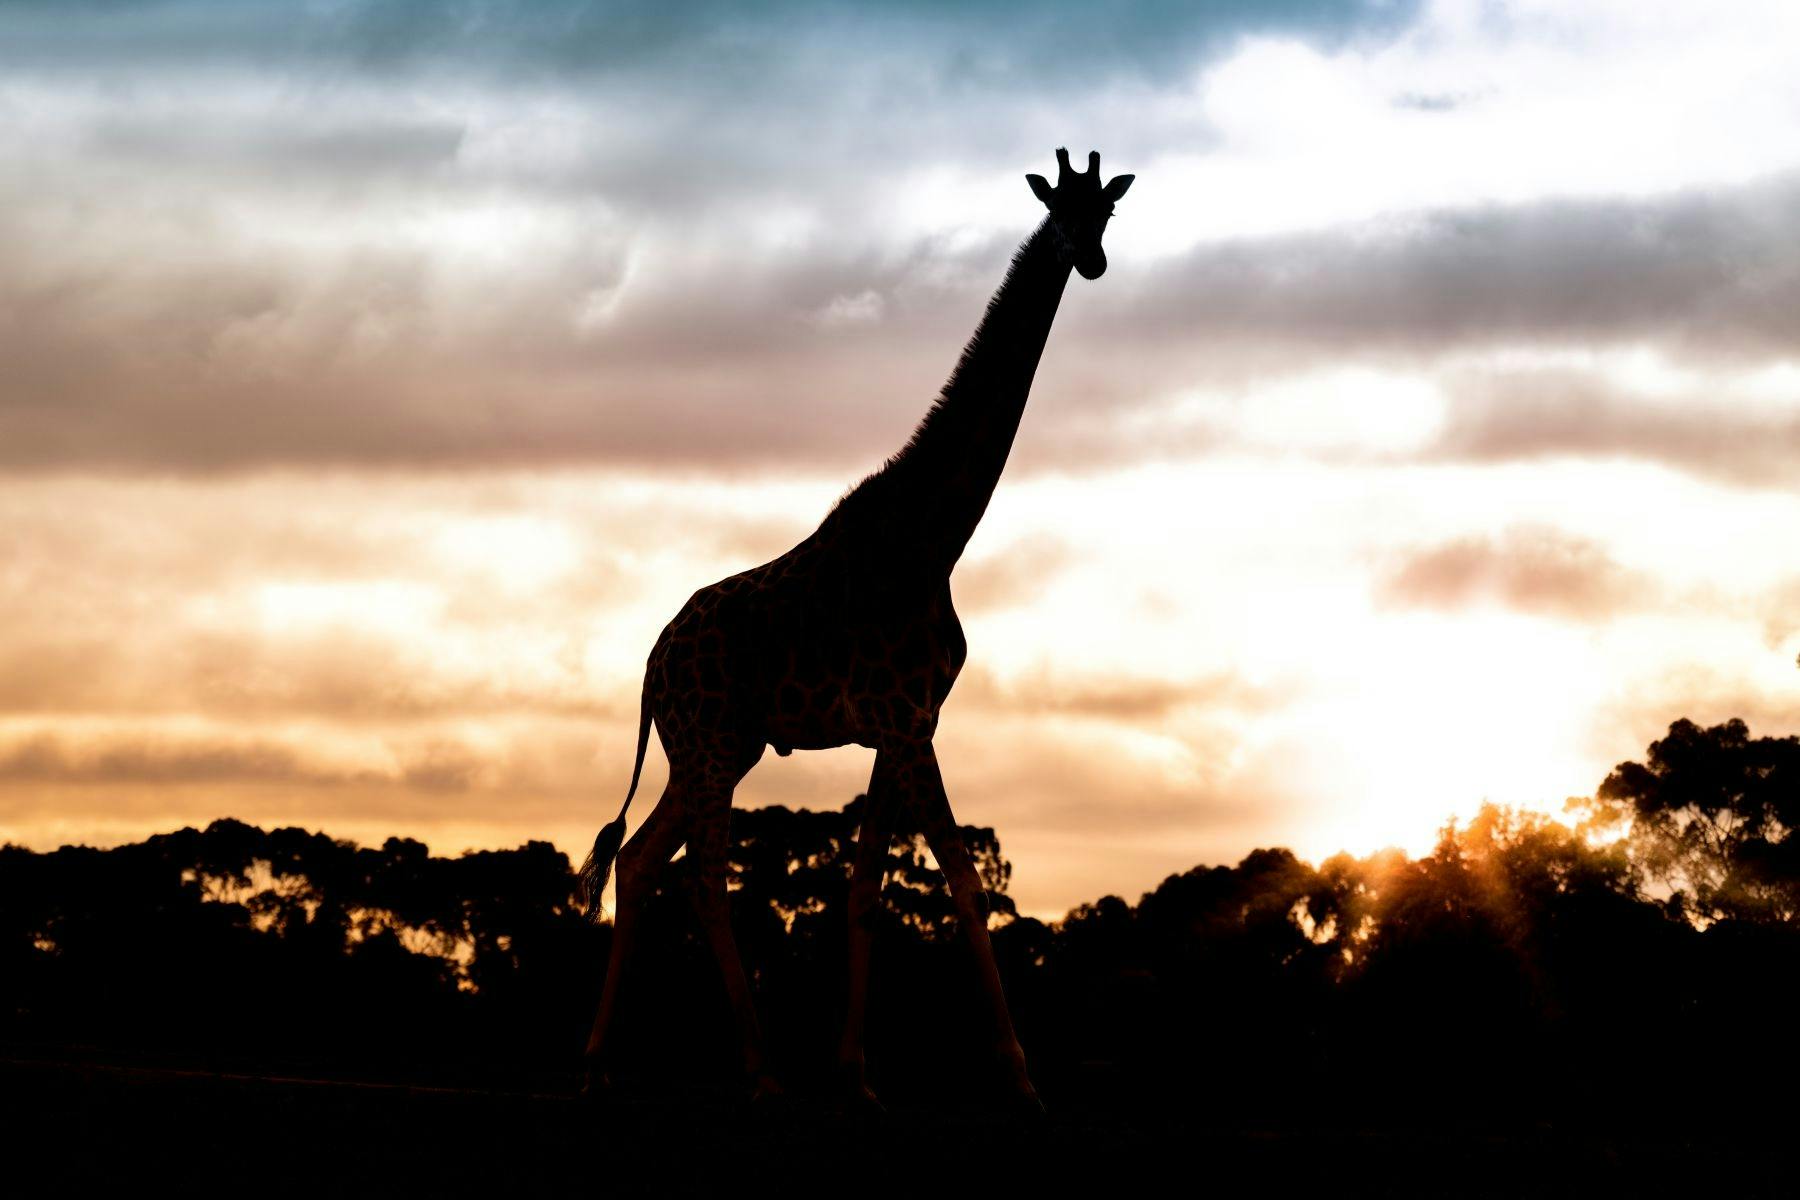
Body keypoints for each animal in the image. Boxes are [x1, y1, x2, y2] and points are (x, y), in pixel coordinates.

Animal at [577, 148, 1134, 1111]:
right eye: (1058, 208)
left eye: (1106, 211)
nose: (1090, 260)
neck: (935, 535)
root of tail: (650, 664)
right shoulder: (909, 721)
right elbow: (960, 878)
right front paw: (1020, 1078)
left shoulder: (901, 726)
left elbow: (869, 884)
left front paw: (855, 1074)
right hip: (711, 744)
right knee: (701, 875)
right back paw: (760, 1069)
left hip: (718, 747)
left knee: (642, 859)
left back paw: (603, 1058)